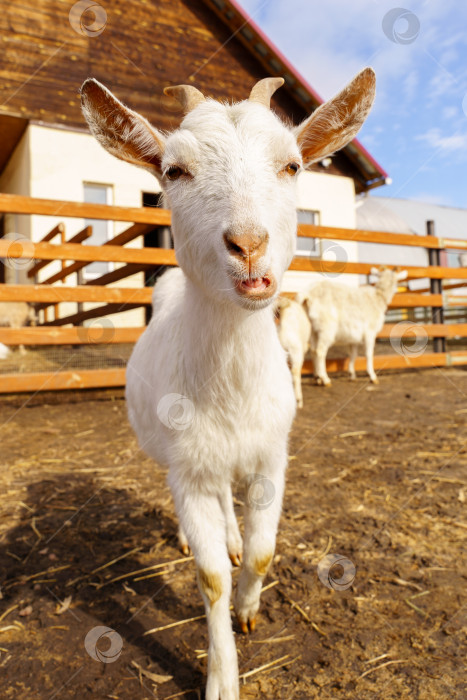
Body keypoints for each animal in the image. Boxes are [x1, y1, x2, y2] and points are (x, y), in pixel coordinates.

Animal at [81, 67, 376, 700]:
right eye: (173, 170)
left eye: (292, 164)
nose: (248, 246)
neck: (232, 389)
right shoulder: (188, 469)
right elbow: (210, 576)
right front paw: (221, 675)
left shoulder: (271, 455)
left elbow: (264, 552)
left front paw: (248, 610)